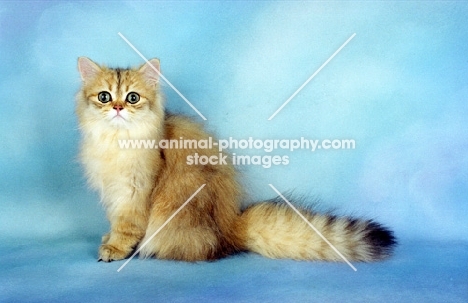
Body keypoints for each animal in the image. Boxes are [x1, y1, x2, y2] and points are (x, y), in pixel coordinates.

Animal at [76, 57, 394, 264]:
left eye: (132, 98)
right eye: (104, 97)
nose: (117, 108)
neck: (115, 141)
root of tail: (232, 228)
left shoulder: (134, 193)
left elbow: (126, 227)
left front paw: (115, 249)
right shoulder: (114, 192)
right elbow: (115, 223)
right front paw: (109, 240)